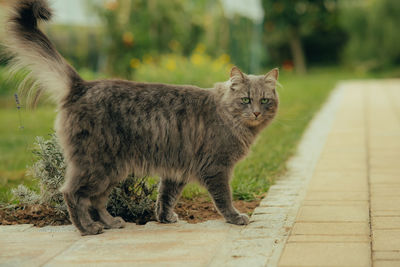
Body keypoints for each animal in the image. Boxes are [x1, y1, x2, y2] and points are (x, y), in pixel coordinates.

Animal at [6, 0, 280, 237]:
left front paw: (165, 218)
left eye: (265, 101)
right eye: (246, 100)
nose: (256, 112)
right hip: (95, 165)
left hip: (112, 170)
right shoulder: (217, 168)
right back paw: (88, 229)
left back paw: (112, 223)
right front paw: (235, 218)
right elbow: (224, 198)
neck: (231, 119)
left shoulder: (177, 170)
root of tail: (82, 85)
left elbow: (165, 197)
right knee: (73, 194)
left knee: (97, 201)